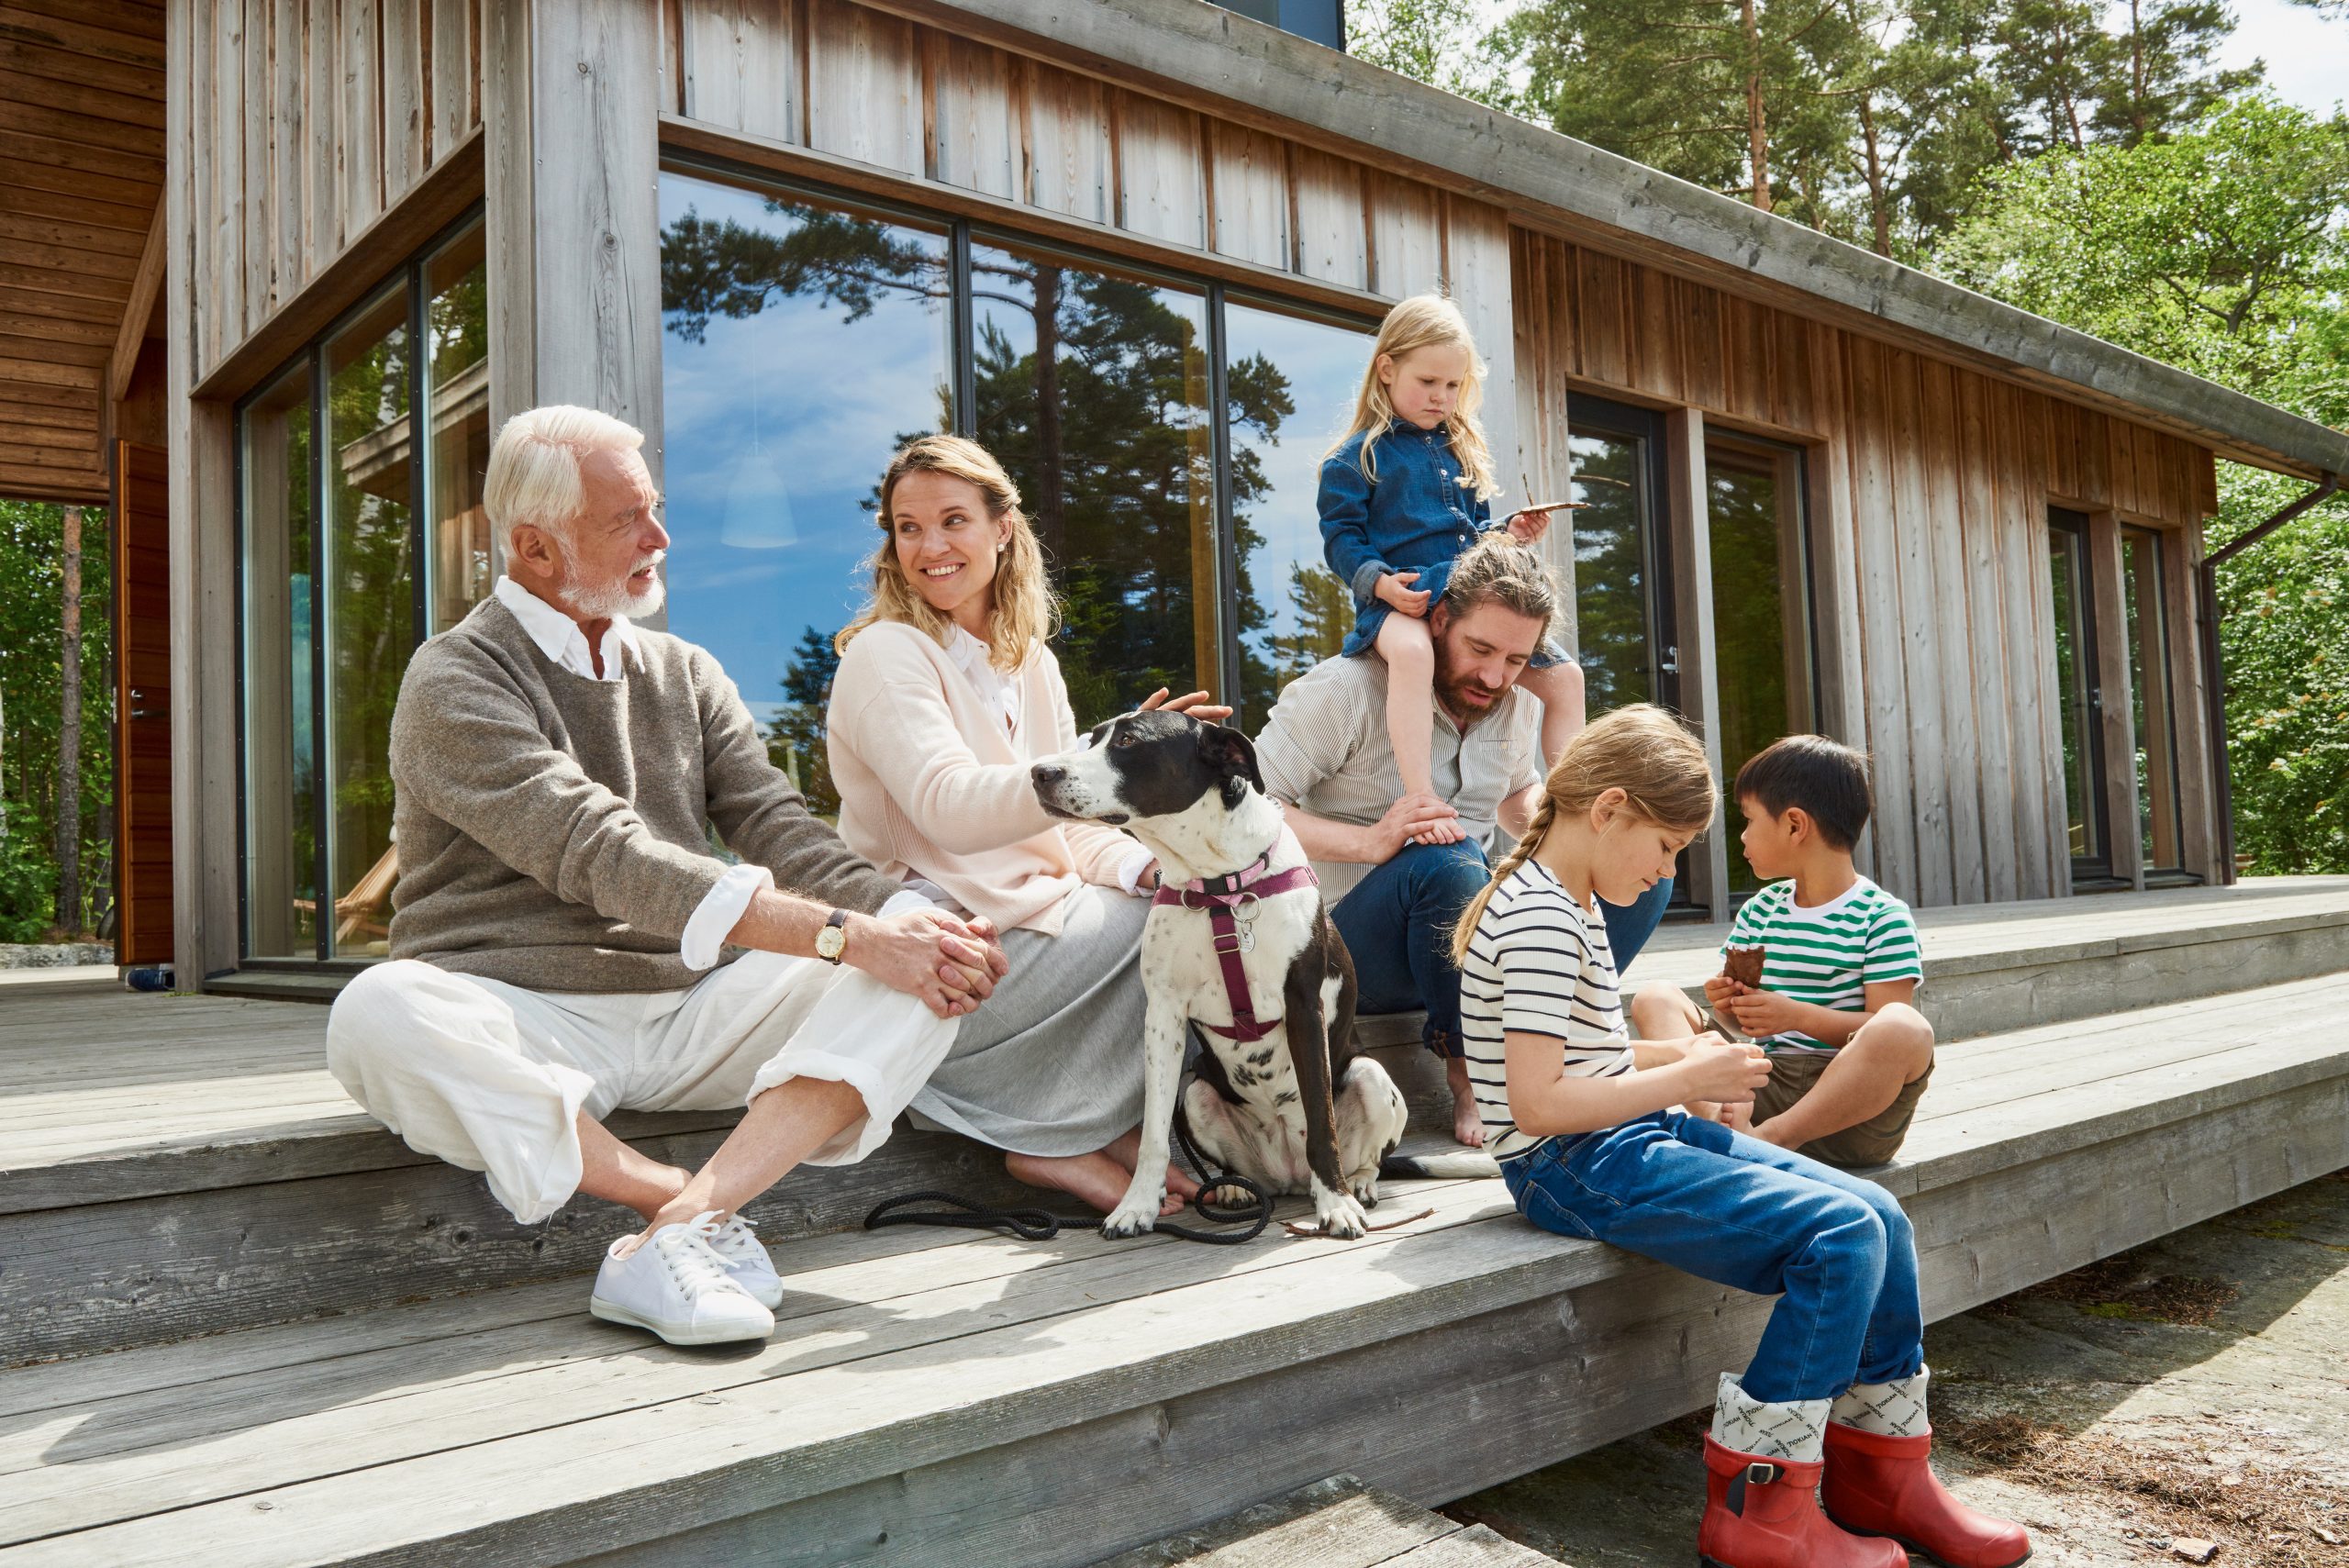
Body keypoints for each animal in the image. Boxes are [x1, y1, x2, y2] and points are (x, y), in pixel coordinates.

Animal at [1024, 708, 1390, 1239]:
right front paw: (1137, 1205)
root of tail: (1289, 1175)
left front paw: (1337, 1203)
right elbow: (1153, 1134)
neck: (1219, 885)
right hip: (1196, 1093)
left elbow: (1324, 1123)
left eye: (1129, 741)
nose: (1039, 773)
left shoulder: (1304, 1007)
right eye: (1092, 738)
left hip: (1370, 1075)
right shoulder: (1163, 1016)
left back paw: (1355, 1183)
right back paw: (1234, 1188)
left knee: (1367, 1152)